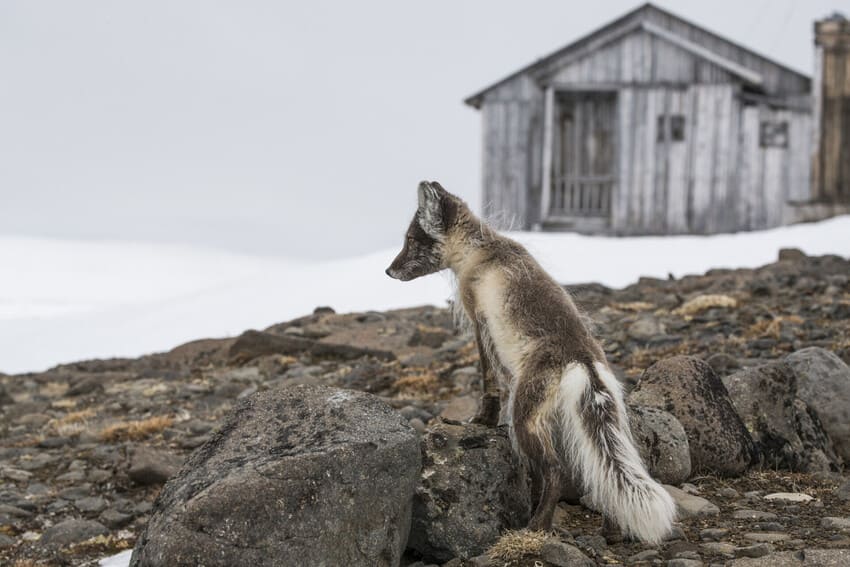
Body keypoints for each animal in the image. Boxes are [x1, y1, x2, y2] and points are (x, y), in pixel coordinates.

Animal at [385, 181, 676, 543]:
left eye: (411, 239)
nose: (388, 271)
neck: (481, 250)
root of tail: (582, 359)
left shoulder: (480, 322)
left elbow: (490, 380)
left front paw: (481, 420)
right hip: (604, 422)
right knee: (603, 472)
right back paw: (611, 531)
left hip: (526, 417)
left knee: (555, 471)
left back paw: (537, 527)